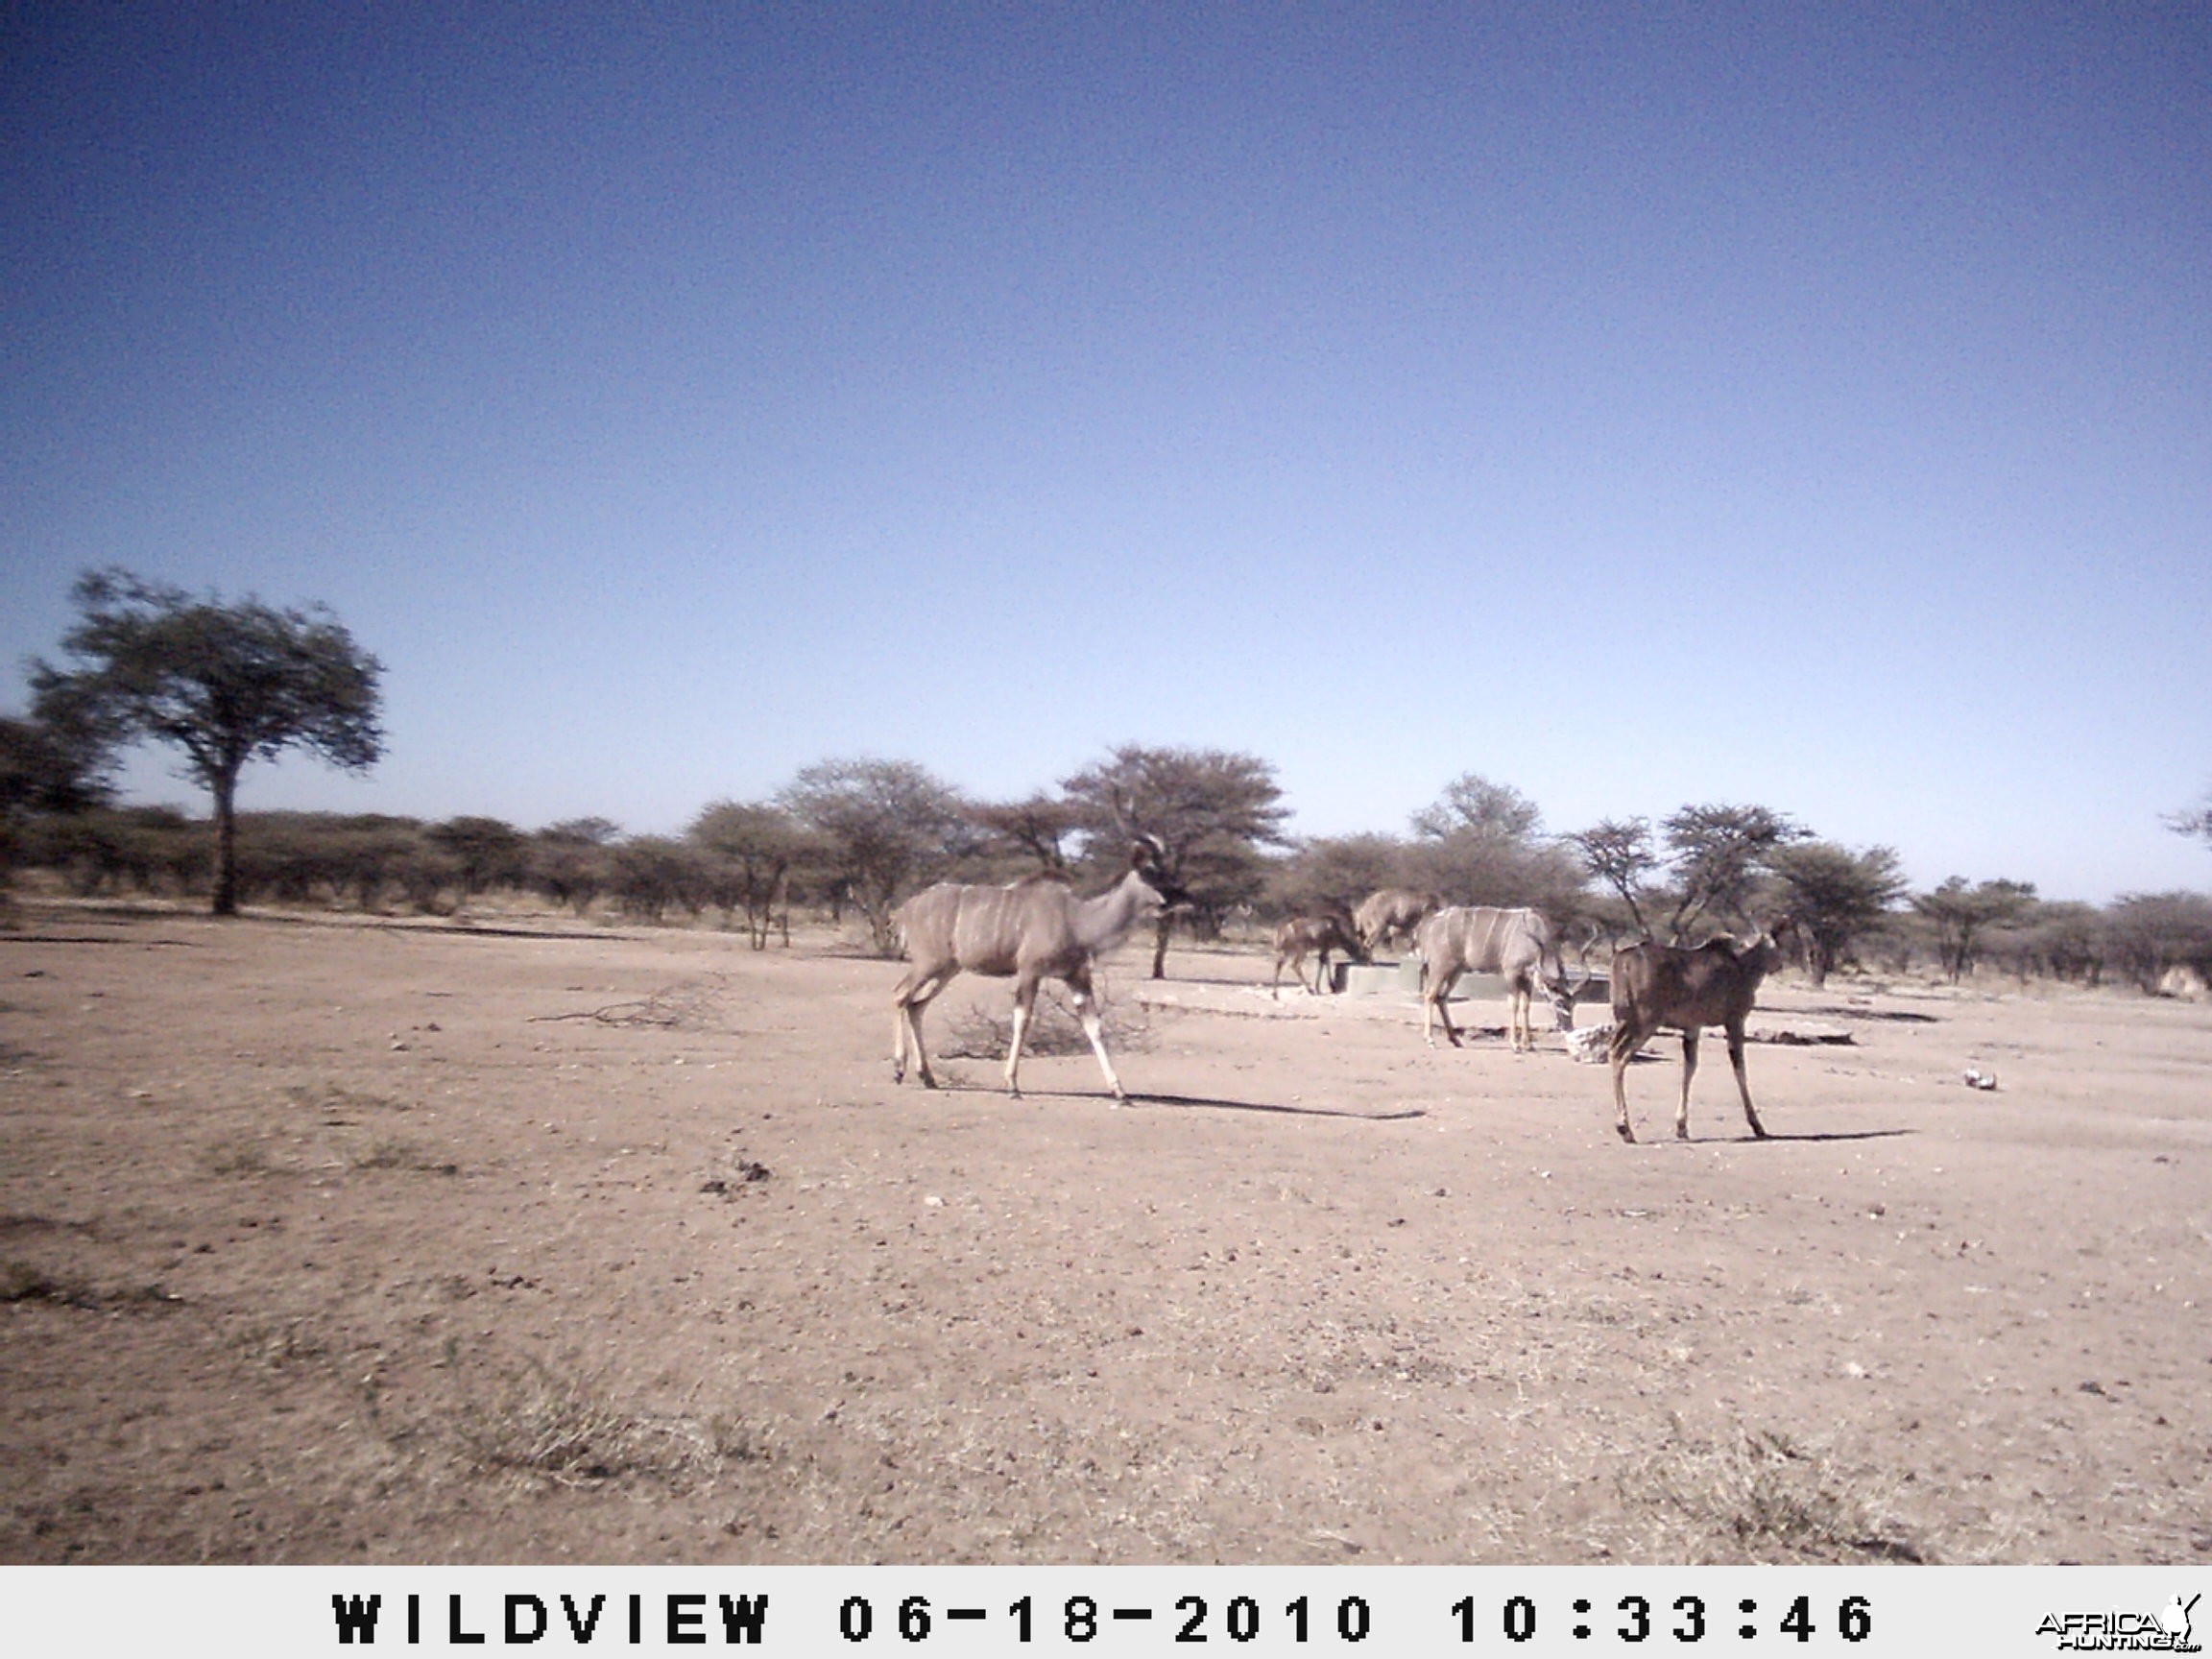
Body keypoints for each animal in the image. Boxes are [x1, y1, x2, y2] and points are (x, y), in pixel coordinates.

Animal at [893, 845, 1185, 1106]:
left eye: (1165, 871)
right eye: (1149, 873)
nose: (1170, 901)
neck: (1077, 921)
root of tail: (906, 908)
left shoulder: (1077, 977)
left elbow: (1094, 1027)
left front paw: (1120, 1092)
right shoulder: (1029, 971)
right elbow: (1022, 1021)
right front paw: (1012, 1085)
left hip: (947, 970)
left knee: (916, 1006)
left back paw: (927, 1076)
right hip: (929, 964)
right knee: (900, 995)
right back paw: (898, 1069)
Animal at [1407, 911, 1583, 1052]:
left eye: (1573, 1004)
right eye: (1559, 1003)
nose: (1568, 1028)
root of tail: (1428, 925)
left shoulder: (1526, 980)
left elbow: (1525, 1007)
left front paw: (1528, 1045)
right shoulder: (1511, 973)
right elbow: (1514, 1005)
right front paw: (1515, 1044)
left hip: (1456, 970)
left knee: (1441, 997)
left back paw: (1456, 1040)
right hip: (1440, 967)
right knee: (1430, 995)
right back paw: (1430, 1040)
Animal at [1610, 925, 1795, 1141]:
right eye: (1775, 946)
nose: (1779, 965)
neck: (1743, 966)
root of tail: (1623, 961)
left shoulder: (1692, 1028)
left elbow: (1689, 1068)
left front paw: (1681, 1126)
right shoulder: (1735, 1021)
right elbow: (1740, 1069)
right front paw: (1757, 1125)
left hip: (1625, 1021)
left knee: (1612, 1050)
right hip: (1646, 1023)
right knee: (1620, 1055)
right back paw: (1624, 1128)